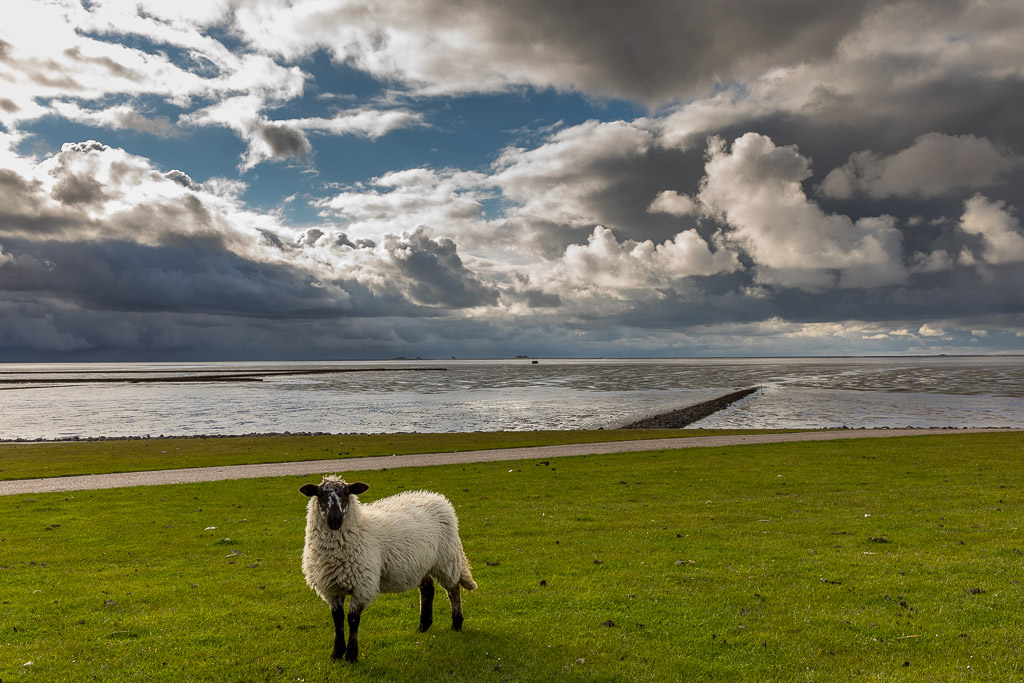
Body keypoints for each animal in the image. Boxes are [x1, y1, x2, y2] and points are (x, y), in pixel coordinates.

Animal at [299, 475, 477, 663]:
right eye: (320, 494)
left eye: (346, 493)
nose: (334, 519)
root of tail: (435, 496)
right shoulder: (331, 589)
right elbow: (338, 621)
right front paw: (336, 653)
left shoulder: (362, 586)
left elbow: (352, 620)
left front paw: (351, 655)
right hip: (420, 563)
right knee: (427, 589)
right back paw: (423, 625)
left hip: (446, 558)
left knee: (453, 589)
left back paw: (456, 623)